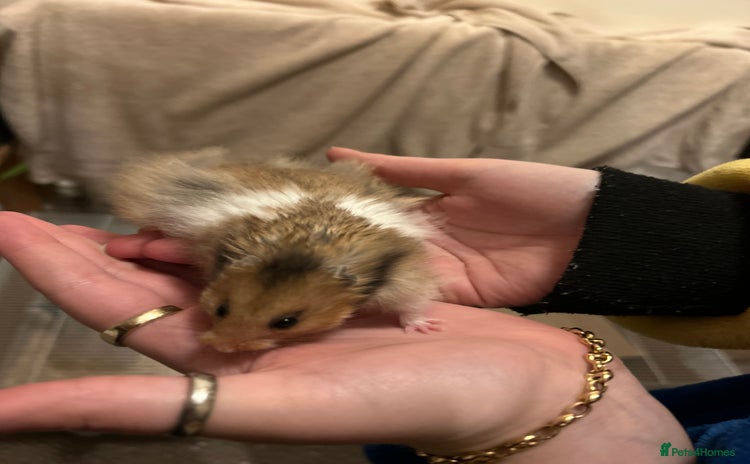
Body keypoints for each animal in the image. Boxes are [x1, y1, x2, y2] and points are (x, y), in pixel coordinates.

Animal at [109, 149, 441, 352]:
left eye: (286, 322)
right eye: (221, 309)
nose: (222, 347)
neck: (299, 247)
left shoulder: (405, 276)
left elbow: (411, 305)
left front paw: (426, 328)